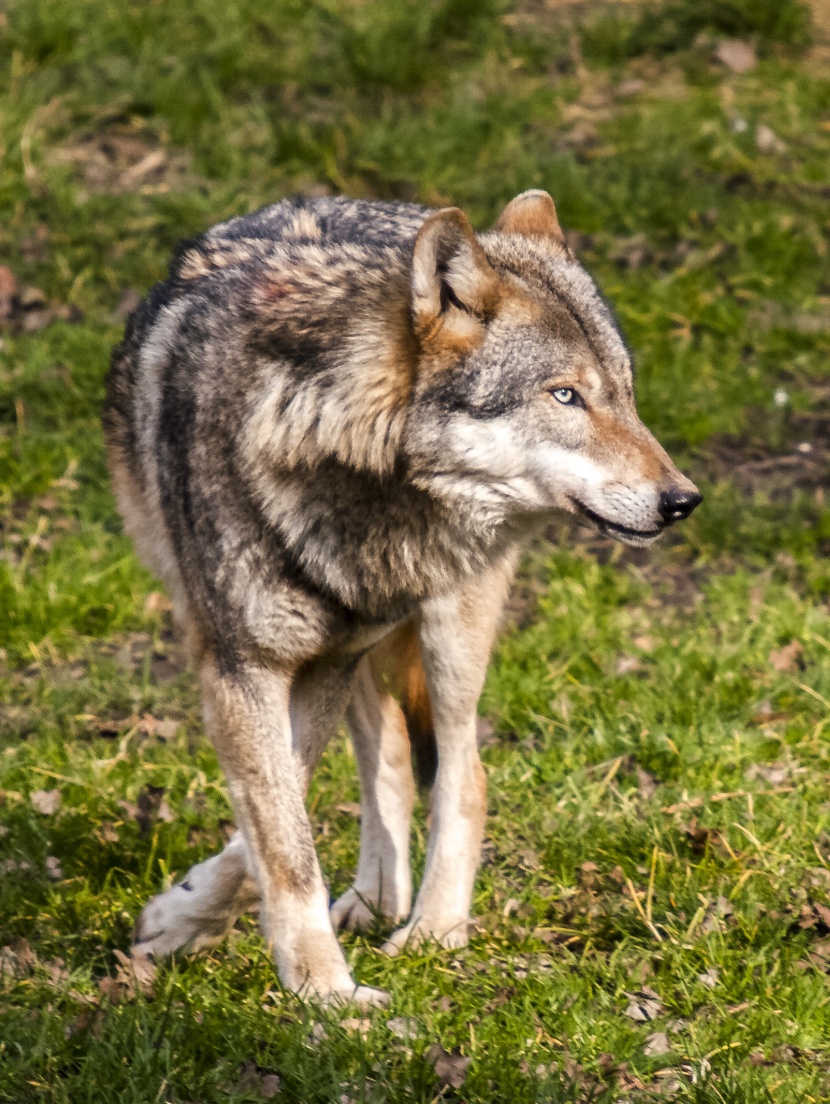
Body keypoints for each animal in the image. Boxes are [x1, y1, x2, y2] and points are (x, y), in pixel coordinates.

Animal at [103, 192, 701, 1011]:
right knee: (386, 747)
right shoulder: (248, 666)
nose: (683, 501)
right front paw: (316, 984)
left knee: (465, 771)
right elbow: (282, 835)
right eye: (566, 395)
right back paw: (378, 898)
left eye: (625, 396)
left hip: (448, 629)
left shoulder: (320, 665)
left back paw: (434, 929)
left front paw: (284, 973)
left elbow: (280, 817)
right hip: (372, 645)